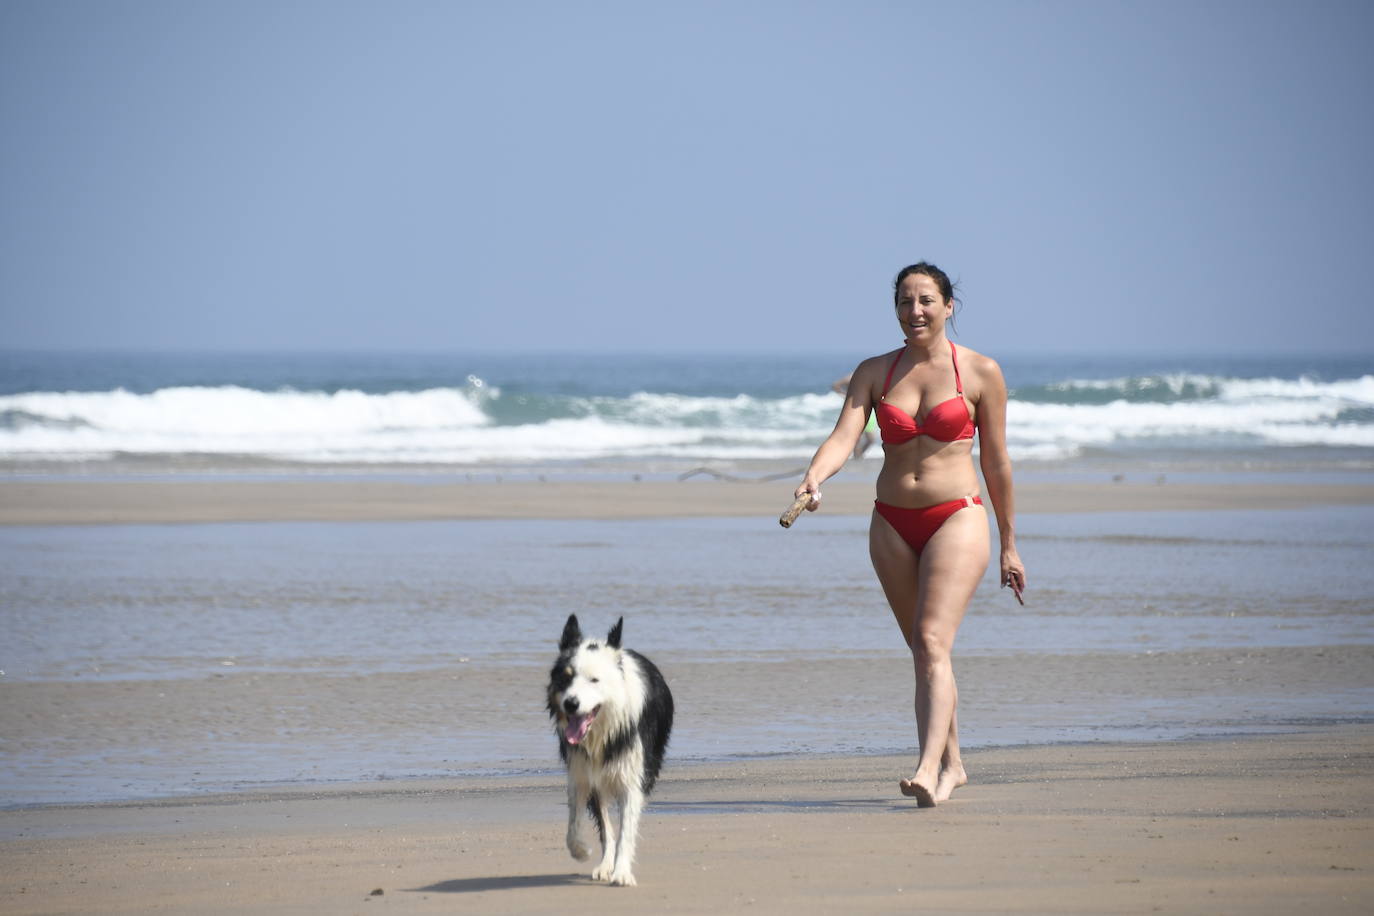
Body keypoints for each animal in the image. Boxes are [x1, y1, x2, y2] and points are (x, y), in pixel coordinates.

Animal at [546, 615, 676, 889]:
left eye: (594, 680)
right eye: (565, 678)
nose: (570, 704)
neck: (602, 732)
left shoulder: (632, 777)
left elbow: (626, 829)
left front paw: (622, 873)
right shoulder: (582, 772)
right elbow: (578, 825)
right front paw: (582, 851)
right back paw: (604, 864)